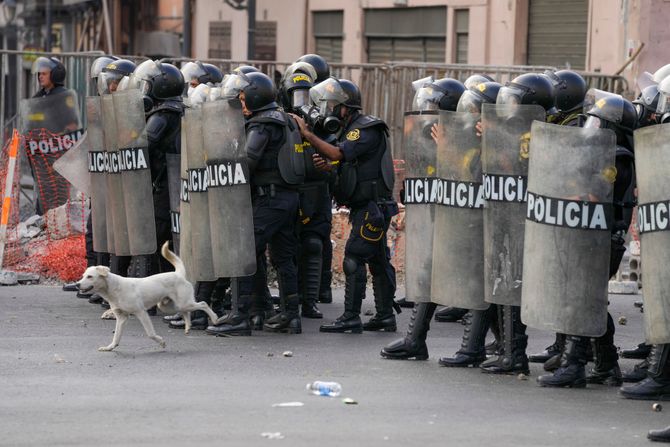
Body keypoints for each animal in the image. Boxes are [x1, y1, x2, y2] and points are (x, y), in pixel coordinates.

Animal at [76, 243, 223, 352]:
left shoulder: (141, 313)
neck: (114, 289)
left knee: (203, 303)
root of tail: (178, 274)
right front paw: (110, 347)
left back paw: (215, 318)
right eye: (83, 276)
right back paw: (187, 326)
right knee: (185, 312)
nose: (77, 284)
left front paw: (162, 342)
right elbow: (116, 336)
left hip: (184, 303)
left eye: (90, 276)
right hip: (168, 306)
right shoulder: (121, 318)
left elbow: (150, 333)